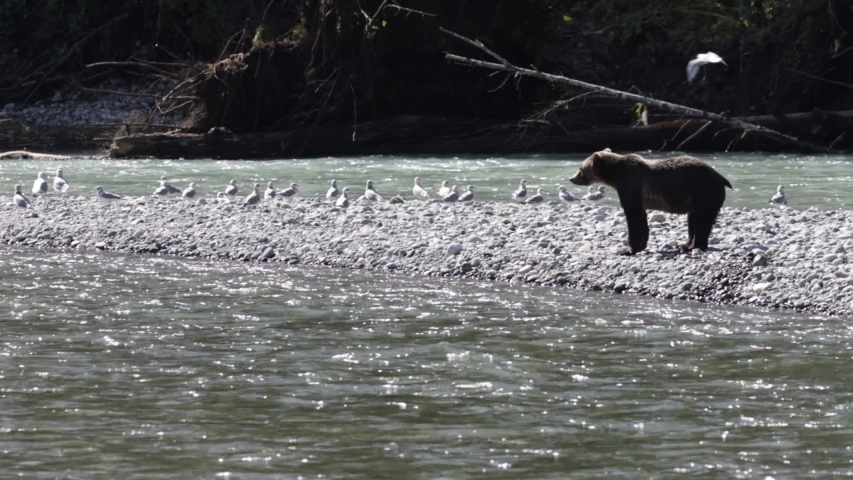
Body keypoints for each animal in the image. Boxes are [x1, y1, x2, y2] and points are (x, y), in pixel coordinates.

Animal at [569, 148, 732, 255]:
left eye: (580, 168)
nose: (572, 178)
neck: (615, 176)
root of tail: (720, 176)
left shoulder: (630, 186)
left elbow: (632, 215)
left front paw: (628, 249)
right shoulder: (637, 196)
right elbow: (641, 217)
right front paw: (642, 245)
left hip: (703, 191)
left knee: (702, 219)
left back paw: (694, 246)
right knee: (693, 219)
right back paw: (684, 245)